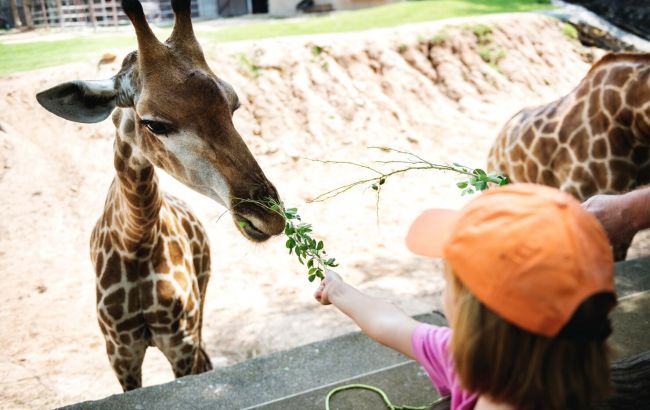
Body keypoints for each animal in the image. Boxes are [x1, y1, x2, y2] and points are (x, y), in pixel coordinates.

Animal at [32, 0, 280, 390]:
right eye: (154, 123)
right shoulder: (120, 353)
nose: (269, 216)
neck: (137, 239)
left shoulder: (180, 342)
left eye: (233, 105)